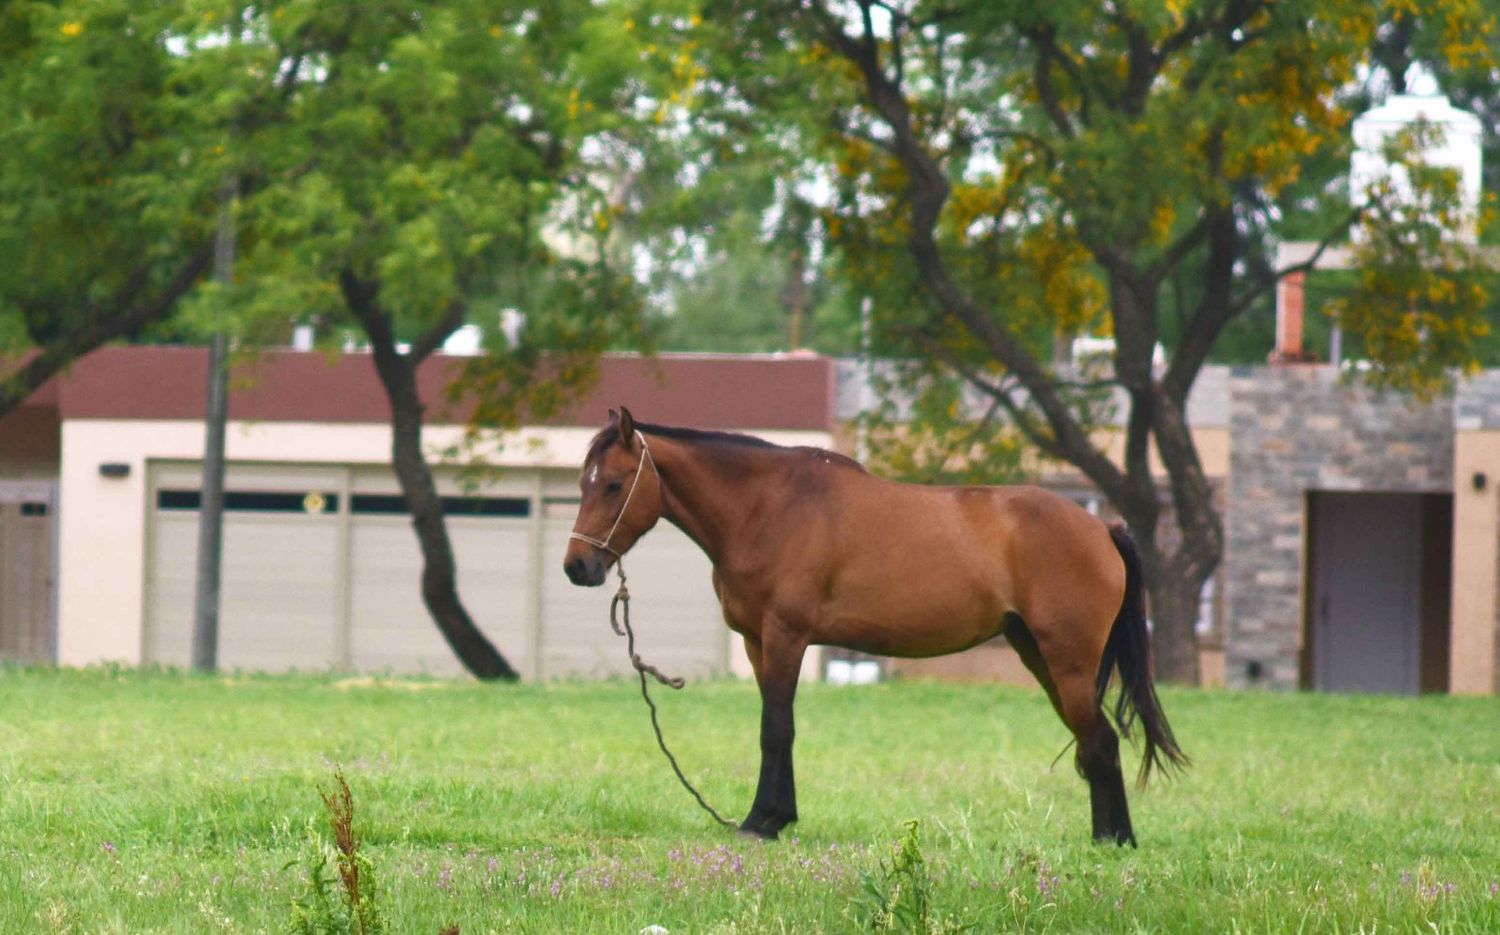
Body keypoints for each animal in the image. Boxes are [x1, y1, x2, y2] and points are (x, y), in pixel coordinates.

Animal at [564, 405, 1182, 846]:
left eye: (613, 484)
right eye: (582, 483)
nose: (577, 567)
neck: (768, 507)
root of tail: (1102, 527)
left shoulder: (786, 638)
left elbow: (775, 728)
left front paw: (764, 821)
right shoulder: (759, 644)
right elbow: (779, 725)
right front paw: (775, 816)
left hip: (1067, 661)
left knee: (1100, 740)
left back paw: (1115, 842)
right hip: (1038, 654)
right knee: (1096, 741)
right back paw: (1108, 838)